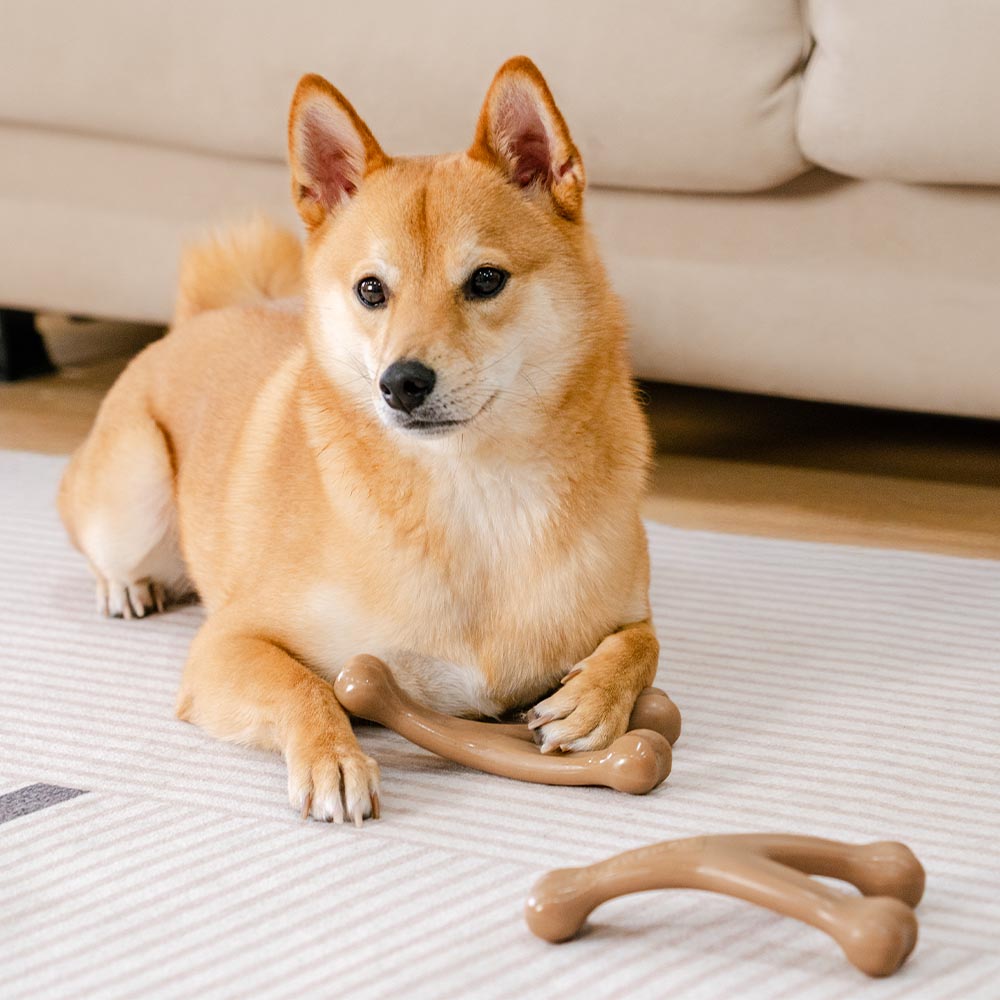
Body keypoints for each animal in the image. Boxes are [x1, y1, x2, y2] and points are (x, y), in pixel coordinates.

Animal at [58, 58, 660, 828]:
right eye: (372, 290)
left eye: (486, 280)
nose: (401, 382)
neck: (472, 496)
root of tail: (206, 316)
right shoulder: (229, 644)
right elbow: (304, 687)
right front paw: (333, 757)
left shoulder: (629, 610)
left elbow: (641, 643)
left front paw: (592, 699)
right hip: (131, 499)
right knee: (104, 543)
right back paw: (127, 586)